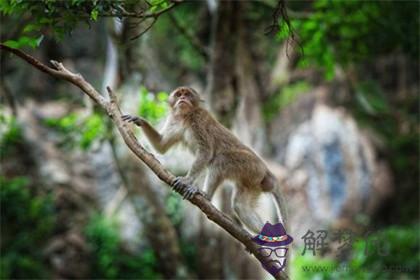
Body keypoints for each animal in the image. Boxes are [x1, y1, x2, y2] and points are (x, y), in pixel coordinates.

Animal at [120, 86, 288, 233]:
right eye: (178, 94)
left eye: (187, 94)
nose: (182, 98)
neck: (186, 117)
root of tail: (266, 170)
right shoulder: (175, 121)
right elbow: (161, 146)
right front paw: (140, 120)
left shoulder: (199, 120)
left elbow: (206, 152)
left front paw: (187, 180)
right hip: (252, 182)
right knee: (240, 206)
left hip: (251, 167)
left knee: (221, 160)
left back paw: (206, 196)